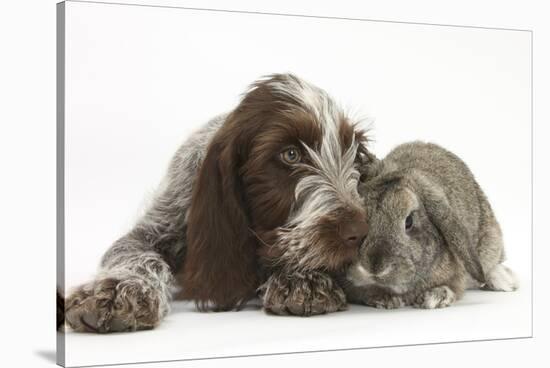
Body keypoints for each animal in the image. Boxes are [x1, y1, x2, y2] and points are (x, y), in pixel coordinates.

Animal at [64, 73, 376, 332]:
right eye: (290, 155)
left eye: (354, 155)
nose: (359, 233)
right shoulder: (156, 224)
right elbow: (134, 254)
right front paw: (117, 290)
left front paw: (303, 277)